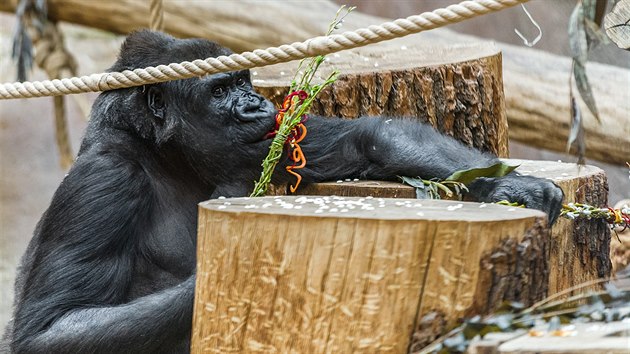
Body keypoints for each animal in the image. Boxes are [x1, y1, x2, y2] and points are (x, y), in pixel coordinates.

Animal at [4, 31, 564, 354]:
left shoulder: (264, 141)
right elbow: (51, 328)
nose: (255, 103)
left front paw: (509, 184)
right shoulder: (104, 183)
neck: (159, 151)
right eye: (218, 90)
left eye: (242, 82)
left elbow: (364, 138)